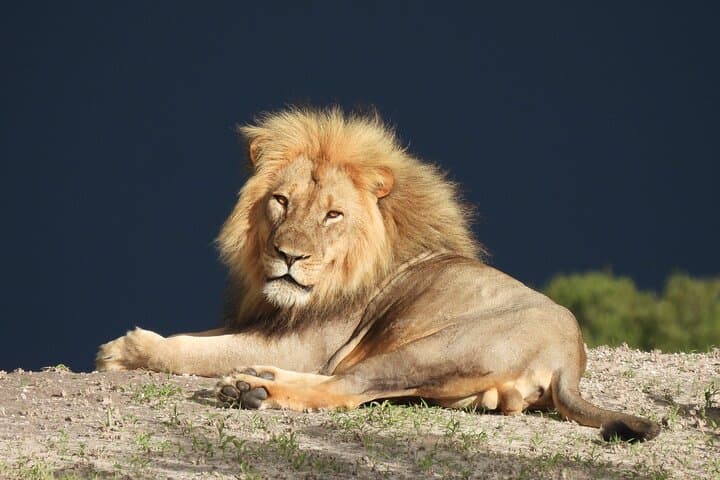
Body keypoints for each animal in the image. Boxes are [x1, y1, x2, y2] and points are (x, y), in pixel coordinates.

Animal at [96, 107, 659, 441]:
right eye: (281, 201)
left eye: (332, 214)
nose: (288, 256)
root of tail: (570, 360)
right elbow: (201, 336)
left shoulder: (302, 344)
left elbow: (192, 349)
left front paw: (124, 350)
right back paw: (257, 380)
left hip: (430, 349)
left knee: (344, 388)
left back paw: (253, 390)